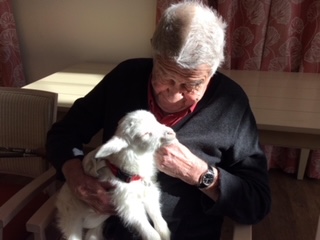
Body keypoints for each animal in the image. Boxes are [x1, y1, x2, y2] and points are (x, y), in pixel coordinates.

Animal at [55, 110, 175, 240]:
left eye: (156, 120)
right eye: (145, 134)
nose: (171, 133)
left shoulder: (149, 192)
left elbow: (158, 218)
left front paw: (166, 235)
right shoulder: (126, 203)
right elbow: (149, 232)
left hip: (95, 228)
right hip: (71, 219)